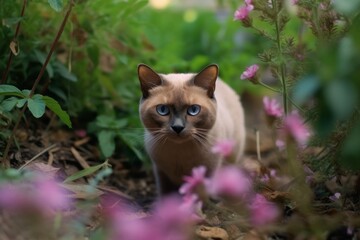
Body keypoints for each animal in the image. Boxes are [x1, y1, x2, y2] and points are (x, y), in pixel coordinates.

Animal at [137, 64, 245, 197]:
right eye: (162, 110)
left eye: (193, 110)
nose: (178, 127)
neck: (179, 152)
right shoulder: (161, 173)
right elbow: (165, 194)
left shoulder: (206, 173)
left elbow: (200, 196)